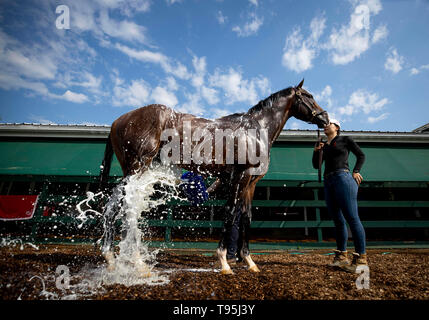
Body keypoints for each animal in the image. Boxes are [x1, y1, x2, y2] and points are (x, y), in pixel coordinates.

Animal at [98, 80, 330, 276]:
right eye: (308, 96)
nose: (325, 118)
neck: (255, 129)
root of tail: (118, 121)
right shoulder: (240, 177)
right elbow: (230, 213)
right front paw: (225, 262)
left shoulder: (251, 183)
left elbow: (246, 216)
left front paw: (249, 261)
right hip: (137, 169)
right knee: (126, 208)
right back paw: (137, 263)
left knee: (113, 208)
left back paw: (112, 259)